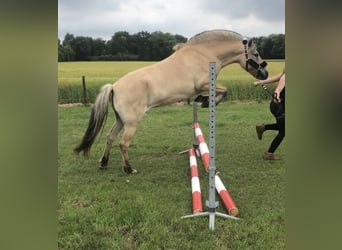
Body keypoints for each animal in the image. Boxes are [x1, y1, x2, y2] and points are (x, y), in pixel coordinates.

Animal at [73, 29, 268, 174]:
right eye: (256, 54)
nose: (264, 74)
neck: (204, 54)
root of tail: (114, 86)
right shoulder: (204, 84)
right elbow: (224, 90)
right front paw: (206, 101)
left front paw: (203, 100)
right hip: (132, 122)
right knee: (123, 143)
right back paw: (129, 169)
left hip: (121, 120)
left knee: (110, 137)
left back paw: (103, 163)